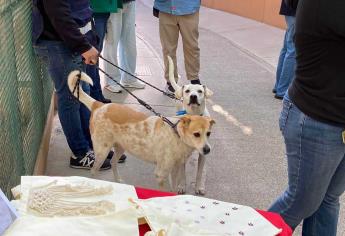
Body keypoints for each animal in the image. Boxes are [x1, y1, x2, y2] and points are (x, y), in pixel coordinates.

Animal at [167, 56, 212, 195]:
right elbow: (182, 173)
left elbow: (199, 173)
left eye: (200, 91)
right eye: (187, 91)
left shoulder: (203, 153)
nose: (193, 96)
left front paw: (199, 187)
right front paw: (181, 186)